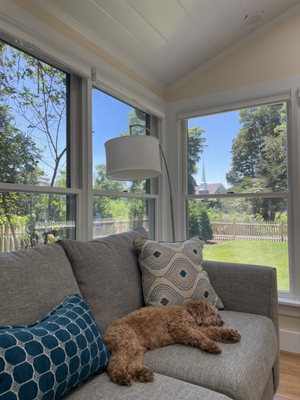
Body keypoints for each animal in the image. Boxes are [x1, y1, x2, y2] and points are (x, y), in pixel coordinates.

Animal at [104, 302, 240, 386]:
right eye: (213, 313)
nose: (222, 322)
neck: (187, 312)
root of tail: (106, 333)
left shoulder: (195, 327)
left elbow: (213, 331)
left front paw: (230, 334)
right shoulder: (180, 328)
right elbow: (200, 336)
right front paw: (211, 345)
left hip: (137, 348)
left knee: (131, 365)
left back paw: (142, 373)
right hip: (127, 343)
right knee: (115, 362)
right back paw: (120, 376)